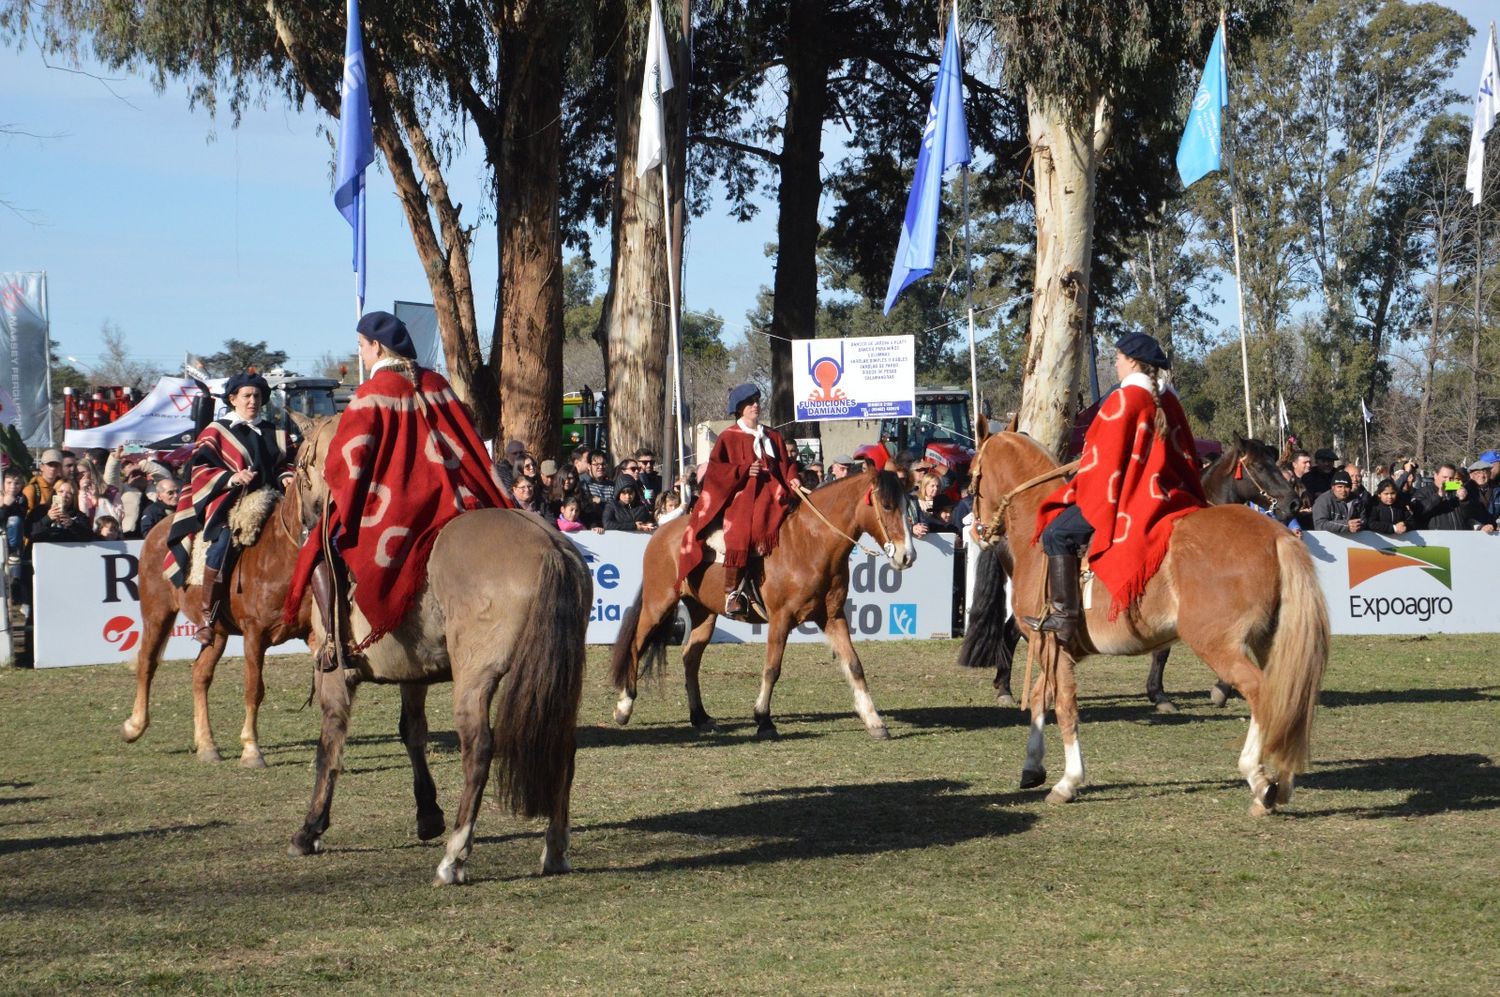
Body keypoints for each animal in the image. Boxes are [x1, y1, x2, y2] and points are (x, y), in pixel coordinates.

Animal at [119, 479, 313, 761]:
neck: (280, 557)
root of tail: (158, 530)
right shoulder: (255, 634)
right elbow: (254, 688)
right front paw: (251, 749)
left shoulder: (313, 633)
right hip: (157, 612)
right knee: (147, 663)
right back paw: (134, 726)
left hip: (217, 632)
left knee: (200, 674)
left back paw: (207, 745)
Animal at [286, 416, 591, 881]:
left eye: (303, 466)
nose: (307, 518)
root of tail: (551, 548)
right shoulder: (414, 674)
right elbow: (412, 732)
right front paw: (428, 813)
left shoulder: (334, 677)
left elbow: (329, 746)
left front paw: (311, 828)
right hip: (561, 679)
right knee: (563, 745)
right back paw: (554, 849)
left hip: (475, 678)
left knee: (478, 749)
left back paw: (454, 857)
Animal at [609, 467, 912, 737]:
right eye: (887, 506)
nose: (907, 556)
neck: (810, 543)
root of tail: (661, 533)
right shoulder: (781, 618)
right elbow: (772, 668)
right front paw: (764, 719)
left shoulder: (832, 616)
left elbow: (854, 665)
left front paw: (874, 720)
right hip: (658, 604)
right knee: (636, 645)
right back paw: (624, 707)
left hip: (703, 613)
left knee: (690, 657)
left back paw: (699, 716)